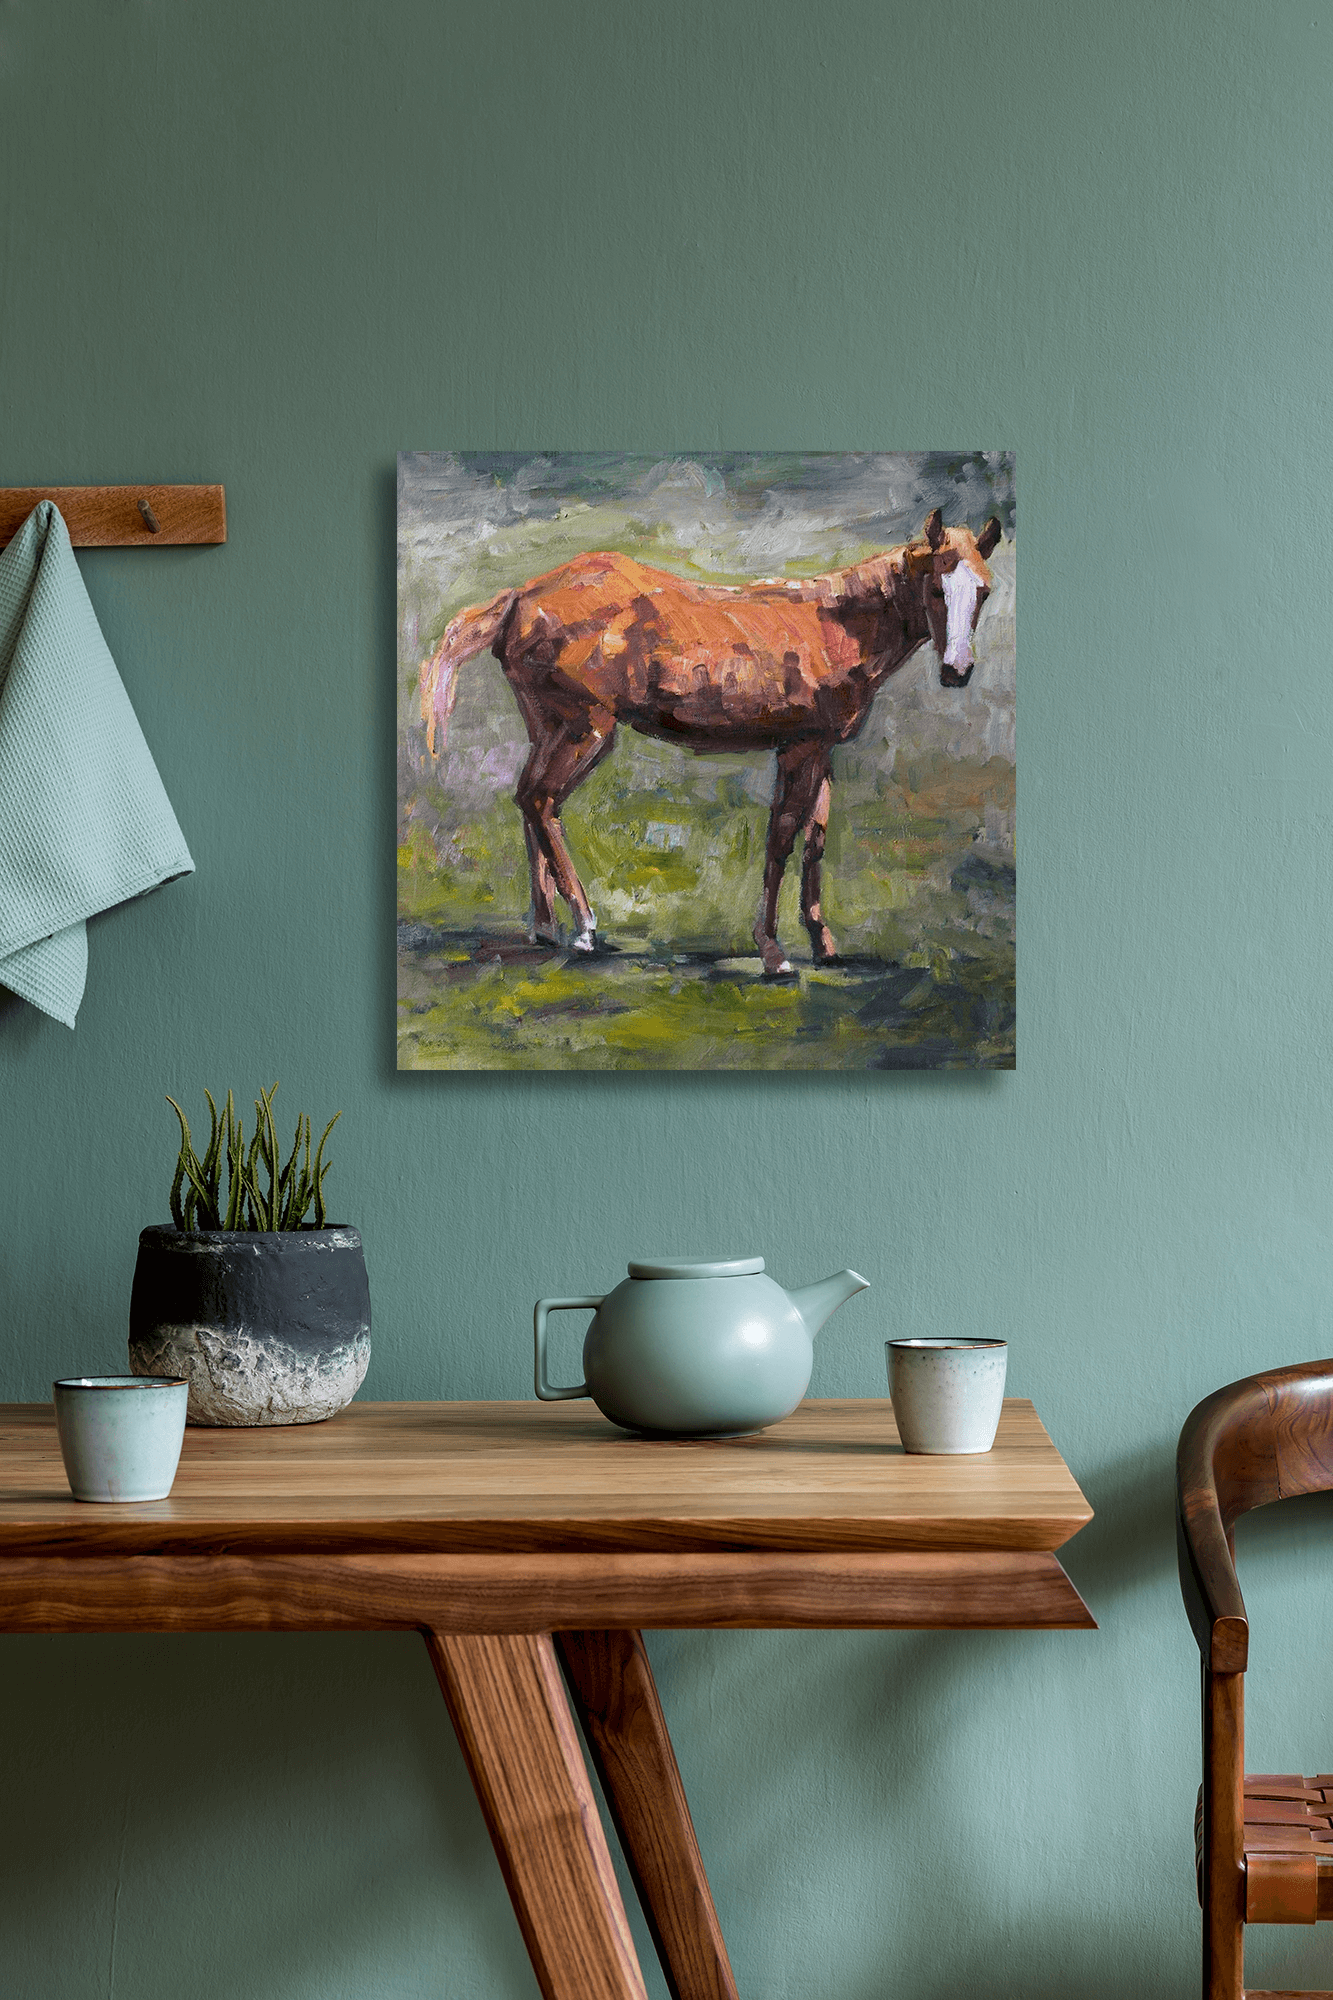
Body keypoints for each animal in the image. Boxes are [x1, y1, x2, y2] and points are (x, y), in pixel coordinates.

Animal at [418, 508, 1001, 976]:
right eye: (936, 588)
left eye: (984, 590)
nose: (957, 672)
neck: (834, 625)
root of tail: (520, 596)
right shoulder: (800, 748)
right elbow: (782, 839)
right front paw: (773, 953)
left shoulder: (821, 751)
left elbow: (814, 842)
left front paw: (824, 945)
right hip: (586, 730)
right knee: (541, 800)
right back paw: (583, 926)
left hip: (550, 726)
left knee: (530, 801)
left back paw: (544, 928)